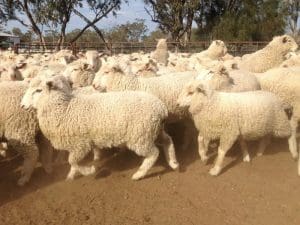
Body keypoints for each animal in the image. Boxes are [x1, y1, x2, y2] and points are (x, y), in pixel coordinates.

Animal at [21, 75, 180, 181]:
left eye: (38, 90)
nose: (22, 105)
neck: (64, 109)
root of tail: (160, 108)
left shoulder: (80, 144)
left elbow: (72, 161)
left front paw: (90, 170)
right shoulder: (76, 145)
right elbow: (72, 163)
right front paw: (71, 176)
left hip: (141, 136)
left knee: (153, 153)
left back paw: (139, 174)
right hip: (154, 130)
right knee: (168, 141)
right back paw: (173, 163)